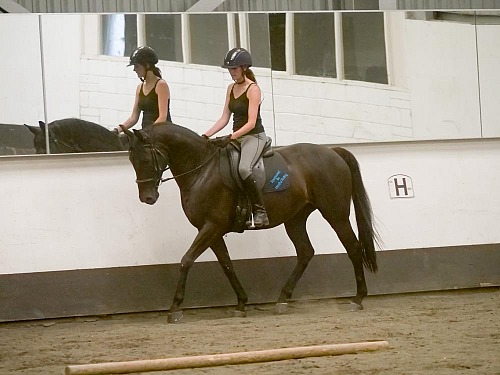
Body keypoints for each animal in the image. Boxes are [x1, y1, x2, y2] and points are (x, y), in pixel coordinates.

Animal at [123, 123, 380, 324]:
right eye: (131, 159)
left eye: (145, 158)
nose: (147, 198)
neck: (202, 170)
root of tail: (332, 151)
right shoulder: (212, 230)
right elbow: (227, 265)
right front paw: (241, 303)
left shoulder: (211, 226)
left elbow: (186, 260)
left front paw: (175, 309)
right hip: (295, 219)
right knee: (306, 252)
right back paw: (282, 300)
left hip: (335, 214)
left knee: (353, 248)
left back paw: (357, 299)